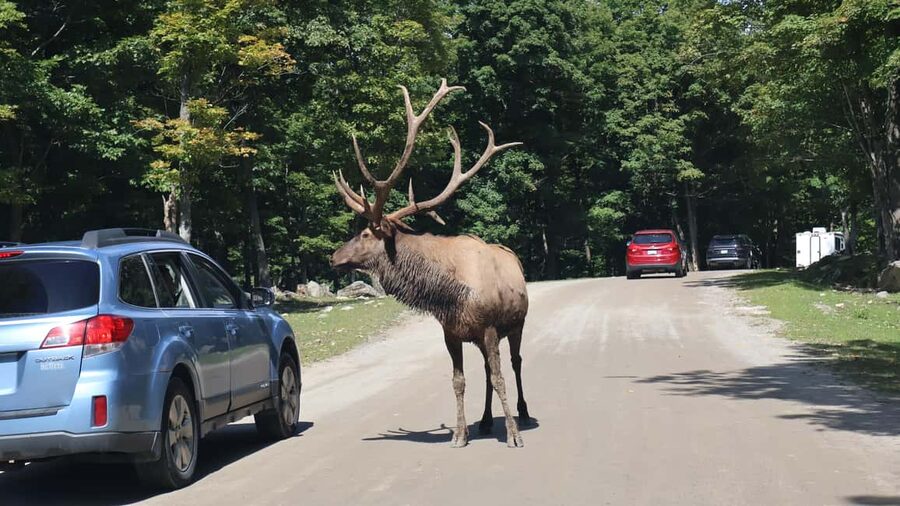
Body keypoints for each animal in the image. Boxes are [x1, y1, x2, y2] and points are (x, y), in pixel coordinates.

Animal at [330, 79, 530, 448]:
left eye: (364, 233)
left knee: (515, 363)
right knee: (486, 370)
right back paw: (484, 421)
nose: (333, 256)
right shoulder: (451, 332)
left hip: (516, 324)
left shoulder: (490, 327)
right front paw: (459, 435)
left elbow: (499, 378)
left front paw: (513, 435)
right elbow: (459, 381)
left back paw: (522, 413)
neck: (450, 295)